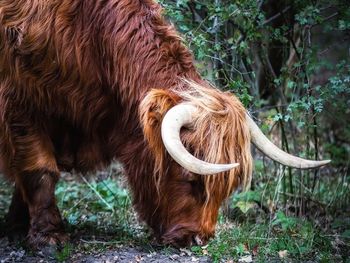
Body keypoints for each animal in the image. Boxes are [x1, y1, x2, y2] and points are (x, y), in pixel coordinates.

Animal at [0, 0, 330, 250]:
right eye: (192, 180)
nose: (199, 239)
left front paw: (17, 226)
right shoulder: (20, 104)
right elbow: (40, 170)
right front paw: (48, 237)